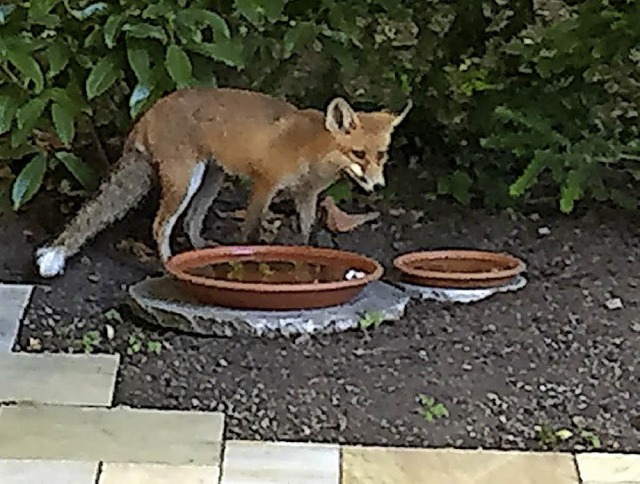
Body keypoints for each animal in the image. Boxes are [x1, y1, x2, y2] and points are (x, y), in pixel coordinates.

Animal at [33, 87, 410, 276]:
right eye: (358, 154)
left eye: (381, 155)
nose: (377, 186)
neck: (310, 151)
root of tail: (150, 111)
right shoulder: (264, 185)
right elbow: (252, 235)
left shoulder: (306, 196)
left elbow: (307, 234)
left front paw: (309, 259)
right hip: (186, 181)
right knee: (160, 225)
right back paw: (169, 264)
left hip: (211, 179)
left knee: (191, 222)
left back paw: (203, 251)